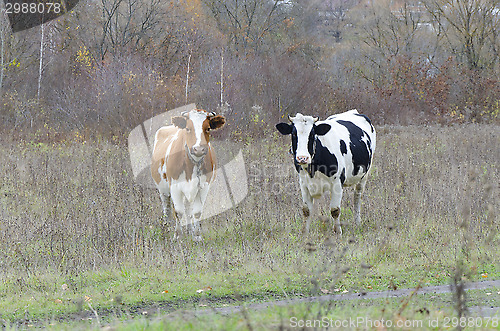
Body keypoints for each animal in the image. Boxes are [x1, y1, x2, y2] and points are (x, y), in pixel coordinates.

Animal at [149, 109, 226, 241]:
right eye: (188, 128)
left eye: (208, 128)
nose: (198, 149)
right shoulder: (175, 187)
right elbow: (178, 212)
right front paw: (177, 236)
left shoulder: (203, 187)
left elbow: (196, 212)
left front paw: (197, 236)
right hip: (162, 188)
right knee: (167, 208)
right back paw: (166, 229)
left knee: (188, 209)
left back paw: (190, 230)